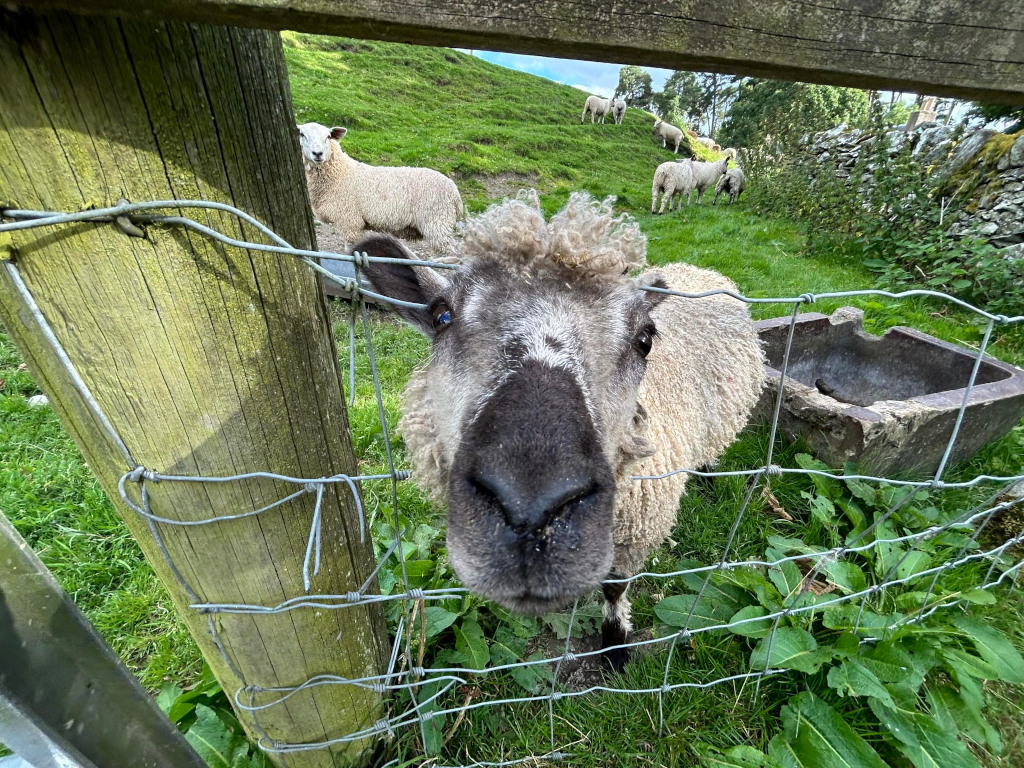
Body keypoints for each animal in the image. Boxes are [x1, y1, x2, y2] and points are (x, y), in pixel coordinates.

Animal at [297, 122, 463, 256]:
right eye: (302, 134)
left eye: (328, 136)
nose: (318, 154)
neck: (340, 173)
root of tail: (455, 192)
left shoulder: (350, 221)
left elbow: (351, 250)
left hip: (436, 221)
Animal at [356, 191, 763, 668]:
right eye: (441, 316)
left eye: (645, 339)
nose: (530, 514)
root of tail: (699, 269)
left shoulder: (634, 533)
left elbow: (615, 587)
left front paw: (615, 642)